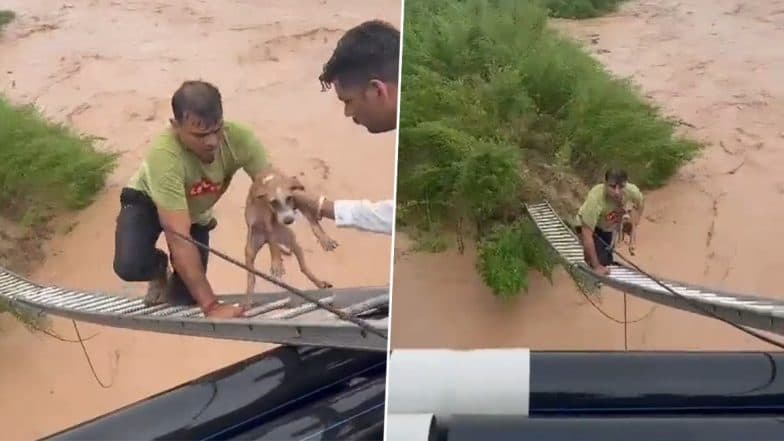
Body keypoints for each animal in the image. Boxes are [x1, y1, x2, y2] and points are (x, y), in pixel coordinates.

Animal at [243, 168, 338, 302]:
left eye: (288, 198)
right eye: (274, 202)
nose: (288, 221)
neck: (271, 179)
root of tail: (263, 240)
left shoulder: (299, 202)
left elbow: (313, 221)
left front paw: (324, 239)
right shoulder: (266, 219)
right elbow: (273, 244)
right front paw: (276, 263)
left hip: (293, 243)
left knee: (303, 267)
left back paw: (319, 282)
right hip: (250, 250)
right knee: (252, 277)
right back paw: (248, 300)